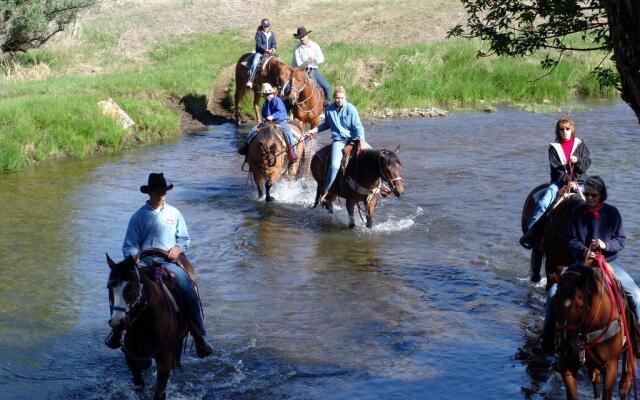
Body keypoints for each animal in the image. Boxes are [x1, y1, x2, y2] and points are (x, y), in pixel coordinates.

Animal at [105, 250, 189, 400]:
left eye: (132, 287)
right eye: (110, 287)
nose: (117, 323)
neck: (145, 325)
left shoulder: (165, 359)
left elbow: (159, 392)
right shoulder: (131, 358)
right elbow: (139, 385)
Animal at [556, 262, 636, 400]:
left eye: (580, 305)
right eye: (555, 301)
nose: (566, 349)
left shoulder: (611, 367)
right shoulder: (566, 365)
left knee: (625, 384)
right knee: (595, 378)